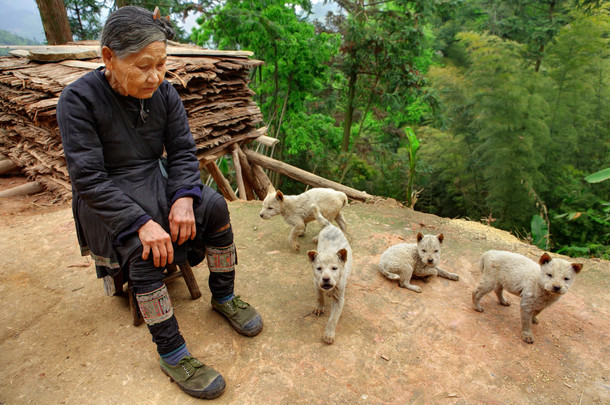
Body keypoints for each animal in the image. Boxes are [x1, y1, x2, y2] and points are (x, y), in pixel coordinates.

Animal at [306, 204, 350, 342]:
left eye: (334, 268)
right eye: (319, 268)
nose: (325, 279)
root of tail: (330, 226)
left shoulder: (340, 299)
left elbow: (334, 318)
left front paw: (329, 334)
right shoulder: (316, 282)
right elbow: (319, 296)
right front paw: (319, 308)